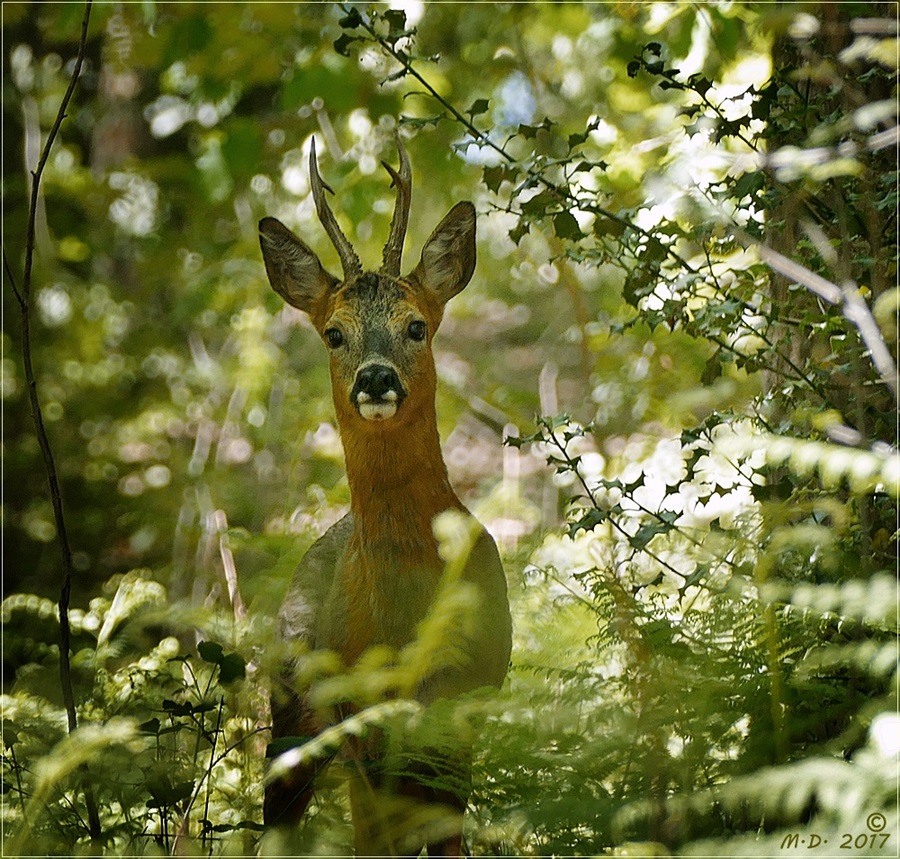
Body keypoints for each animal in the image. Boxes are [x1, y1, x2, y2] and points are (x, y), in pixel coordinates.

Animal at [260, 136, 512, 859]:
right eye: (333, 332)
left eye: (417, 325)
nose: (375, 379)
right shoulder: (364, 718)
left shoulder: (464, 701)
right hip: (292, 709)